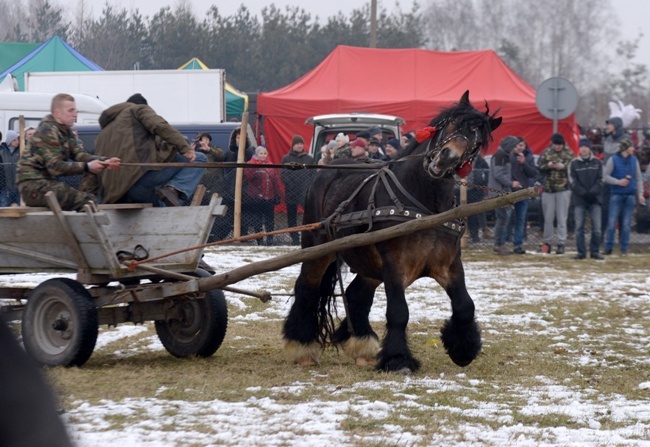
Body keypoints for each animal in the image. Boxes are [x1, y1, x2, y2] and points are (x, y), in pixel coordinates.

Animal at [284, 92, 502, 374]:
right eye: (451, 123)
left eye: (476, 142)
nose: (445, 158)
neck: (425, 207)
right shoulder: (394, 264)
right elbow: (399, 311)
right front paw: (398, 359)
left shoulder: (449, 264)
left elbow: (465, 305)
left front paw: (463, 350)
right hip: (318, 248)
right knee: (307, 288)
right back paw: (301, 346)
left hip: (367, 262)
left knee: (356, 295)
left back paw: (361, 345)